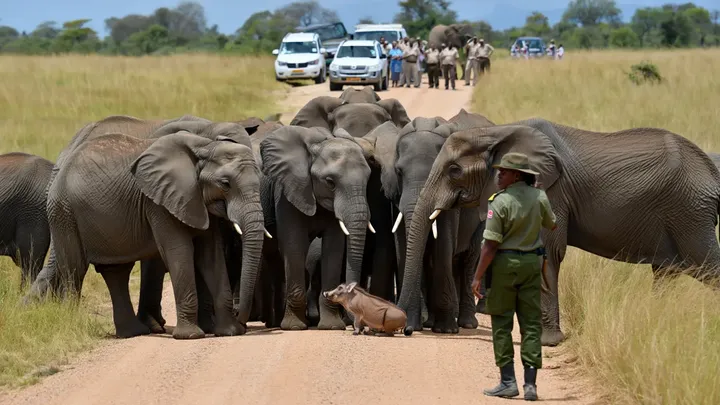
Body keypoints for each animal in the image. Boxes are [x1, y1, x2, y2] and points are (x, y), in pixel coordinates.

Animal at [257, 125, 375, 330]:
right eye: (330, 182)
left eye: (368, 179)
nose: (360, 326)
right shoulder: (288, 191)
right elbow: (294, 245)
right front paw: (294, 327)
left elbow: (334, 248)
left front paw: (331, 327)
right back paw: (279, 324)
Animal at [371, 109, 495, 333]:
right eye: (399, 172)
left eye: (441, 172)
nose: (405, 330)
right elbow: (404, 245)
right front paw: (415, 325)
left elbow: (443, 245)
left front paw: (445, 329)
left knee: (469, 258)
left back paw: (465, 323)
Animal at [399, 117, 720, 346]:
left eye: (454, 170)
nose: (408, 330)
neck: (496, 133)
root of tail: (712, 174)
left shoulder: (548, 190)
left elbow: (547, 251)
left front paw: (547, 342)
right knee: (665, 273)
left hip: (690, 213)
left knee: (707, 265)